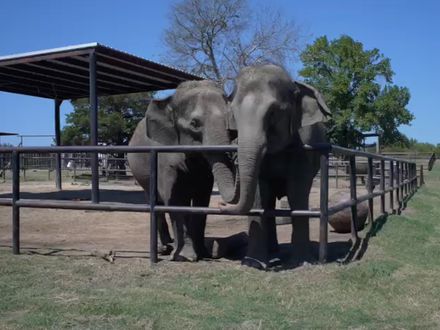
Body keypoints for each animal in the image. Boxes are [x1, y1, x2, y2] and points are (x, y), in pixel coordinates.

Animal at [127, 79, 237, 260]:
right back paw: (164, 248)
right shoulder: (164, 158)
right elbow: (174, 199)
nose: (222, 204)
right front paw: (186, 257)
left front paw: (203, 254)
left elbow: (202, 199)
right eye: (194, 124)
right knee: (154, 199)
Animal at [222, 65, 332, 270]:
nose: (221, 205)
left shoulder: (305, 146)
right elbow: (259, 194)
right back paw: (272, 252)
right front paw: (252, 264)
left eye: (273, 113)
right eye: (234, 114)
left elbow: (297, 191)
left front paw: (302, 261)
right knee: (269, 202)